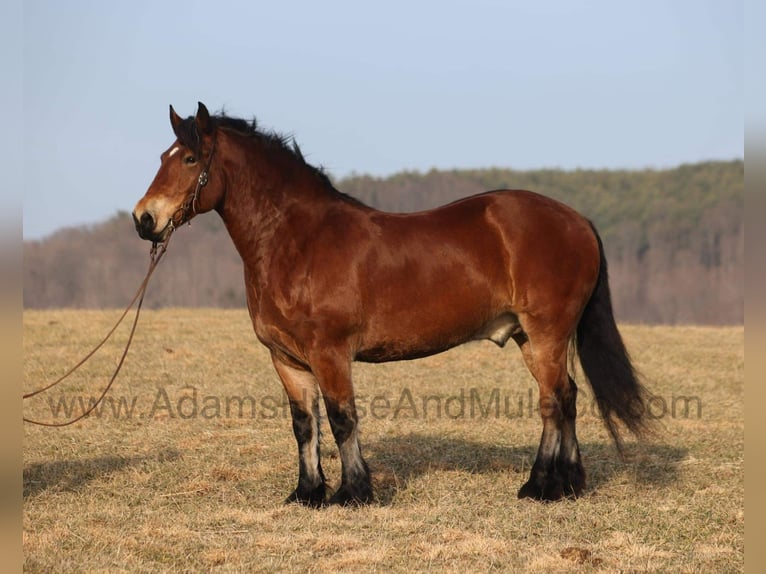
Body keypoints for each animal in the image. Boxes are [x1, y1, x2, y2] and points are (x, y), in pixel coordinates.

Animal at [133, 102, 651, 506]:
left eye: (190, 158)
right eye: (162, 156)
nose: (144, 219)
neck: (297, 240)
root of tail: (577, 220)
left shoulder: (330, 353)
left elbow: (342, 419)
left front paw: (353, 493)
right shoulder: (287, 359)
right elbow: (305, 425)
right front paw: (307, 493)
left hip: (546, 334)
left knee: (553, 401)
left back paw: (540, 487)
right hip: (531, 336)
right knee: (568, 397)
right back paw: (569, 485)